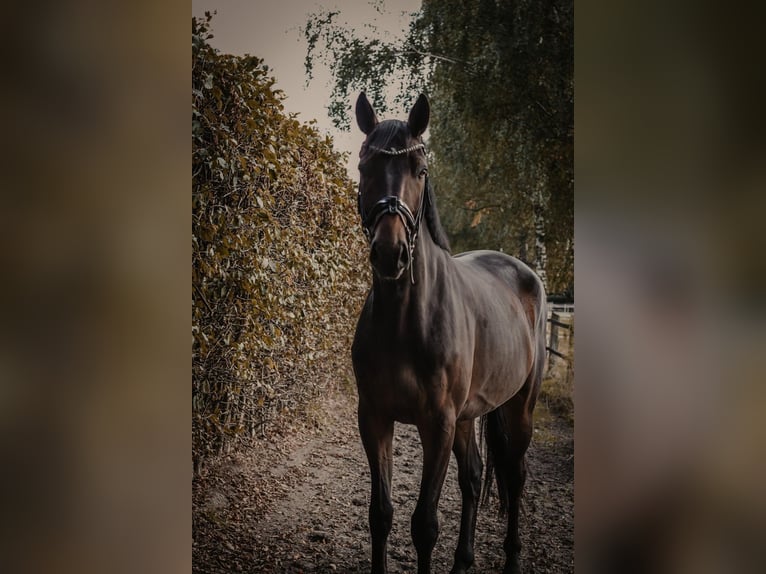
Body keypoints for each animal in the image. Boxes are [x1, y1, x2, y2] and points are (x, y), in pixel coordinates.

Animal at [352, 92, 548, 572]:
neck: (407, 319)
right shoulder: (374, 418)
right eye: (364, 166)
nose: (390, 254)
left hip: (519, 407)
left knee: (515, 476)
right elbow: (380, 514)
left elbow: (424, 524)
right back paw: (463, 560)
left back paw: (512, 558)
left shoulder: (437, 424)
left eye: (420, 170)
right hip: (467, 416)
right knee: (474, 477)